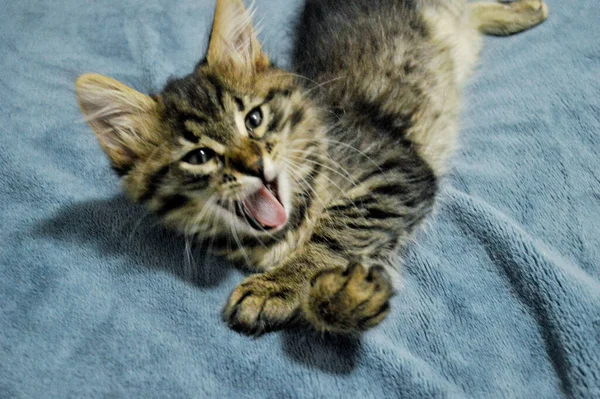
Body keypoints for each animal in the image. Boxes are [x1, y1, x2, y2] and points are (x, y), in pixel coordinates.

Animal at [75, 0, 548, 336]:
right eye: (199, 157)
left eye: (254, 119)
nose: (255, 165)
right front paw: (344, 298)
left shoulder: (395, 167)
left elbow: (336, 228)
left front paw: (280, 286)